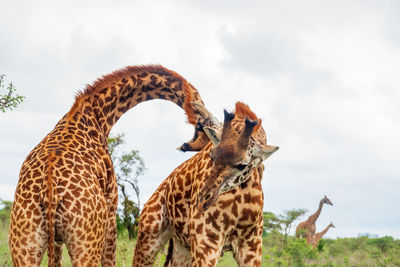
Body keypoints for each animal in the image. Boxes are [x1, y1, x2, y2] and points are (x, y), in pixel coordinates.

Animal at [7, 65, 219, 267]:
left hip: (25, 242)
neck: (98, 114)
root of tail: (49, 193)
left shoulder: (57, 242)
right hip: (86, 240)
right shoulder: (111, 210)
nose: (187, 146)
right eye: (205, 124)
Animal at [131, 102, 278, 266]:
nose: (201, 201)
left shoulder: (251, 245)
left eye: (242, 165)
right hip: (149, 236)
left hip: (182, 247)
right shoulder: (207, 241)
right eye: (211, 155)